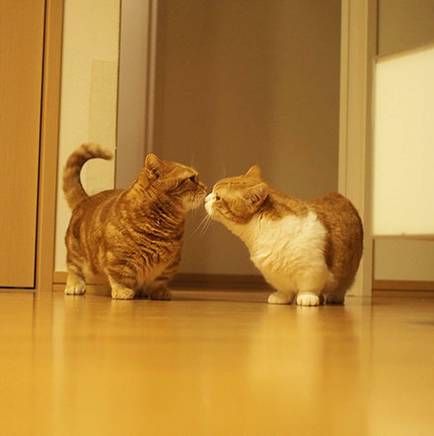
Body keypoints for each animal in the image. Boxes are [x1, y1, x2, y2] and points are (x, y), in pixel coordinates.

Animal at [63, 143, 206, 300]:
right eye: (192, 179)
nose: (206, 187)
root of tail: (86, 199)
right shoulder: (119, 259)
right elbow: (121, 278)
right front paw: (123, 292)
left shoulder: (169, 264)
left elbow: (159, 281)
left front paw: (159, 292)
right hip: (76, 251)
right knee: (73, 268)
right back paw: (75, 285)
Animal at [205, 165, 363, 306]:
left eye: (217, 197)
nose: (206, 198)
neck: (259, 233)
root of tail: (338, 195)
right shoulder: (274, 272)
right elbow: (284, 288)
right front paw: (282, 296)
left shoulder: (312, 269)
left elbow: (309, 286)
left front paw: (307, 297)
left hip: (348, 271)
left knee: (342, 285)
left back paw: (333, 296)